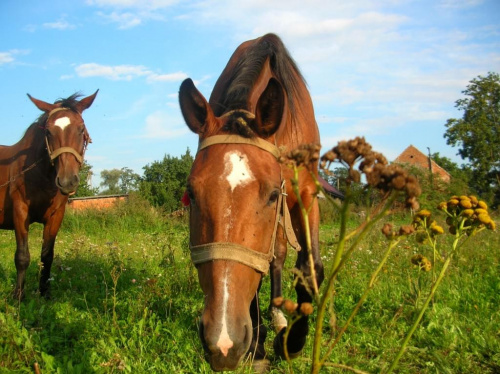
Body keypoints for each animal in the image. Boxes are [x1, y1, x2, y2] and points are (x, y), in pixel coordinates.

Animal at [0, 92, 97, 300]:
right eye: (48, 132)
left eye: (81, 129)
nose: (67, 181)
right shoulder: (20, 212)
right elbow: (22, 256)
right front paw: (18, 296)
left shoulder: (55, 216)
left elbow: (47, 256)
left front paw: (44, 292)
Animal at [180, 32, 324, 372]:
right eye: (192, 193)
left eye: (271, 194)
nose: (223, 342)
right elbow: (256, 277)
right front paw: (257, 349)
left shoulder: (305, 195)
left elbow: (310, 268)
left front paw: (292, 343)